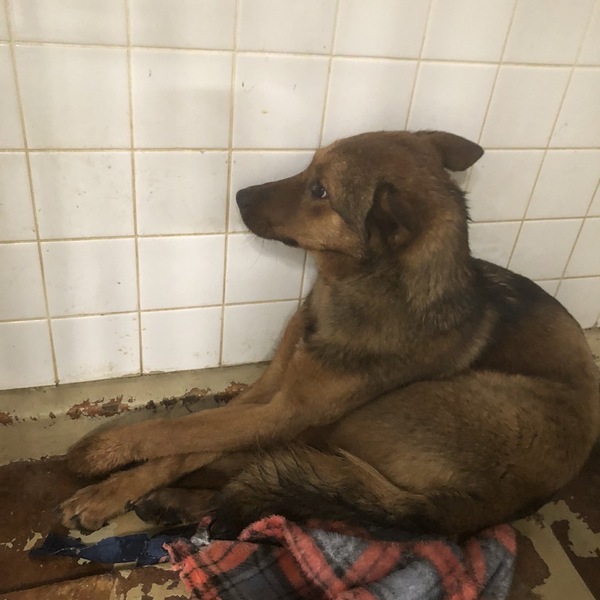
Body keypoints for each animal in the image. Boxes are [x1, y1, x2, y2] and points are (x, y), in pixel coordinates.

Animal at [58, 130, 599, 539]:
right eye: (309, 169)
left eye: (320, 191)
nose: (239, 195)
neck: (352, 290)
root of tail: (480, 507)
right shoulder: (272, 387)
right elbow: (192, 437)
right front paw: (115, 489)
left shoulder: (285, 411)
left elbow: (178, 431)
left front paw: (100, 456)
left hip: (381, 411)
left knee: (289, 471)